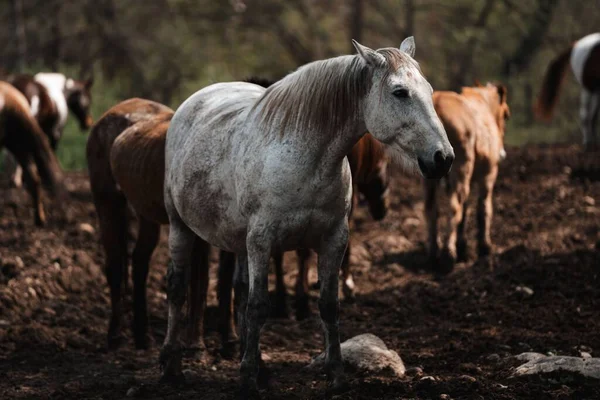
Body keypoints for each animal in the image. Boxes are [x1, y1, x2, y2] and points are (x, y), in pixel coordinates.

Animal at [88, 97, 217, 350]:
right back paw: (115, 335)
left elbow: (205, 280)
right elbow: (195, 279)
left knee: (139, 262)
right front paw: (193, 345)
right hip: (107, 204)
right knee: (115, 264)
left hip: (145, 213)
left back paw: (142, 335)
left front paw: (198, 343)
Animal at [162, 38, 452, 396]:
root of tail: (193, 102)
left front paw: (336, 377)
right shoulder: (262, 241)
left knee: (240, 291)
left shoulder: (333, 240)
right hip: (181, 227)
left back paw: (259, 368)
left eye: (428, 89)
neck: (307, 161)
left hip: (240, 242)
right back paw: (172, 368)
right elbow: (259, 306)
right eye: (400, 92)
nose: (443, 158)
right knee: (178, 288)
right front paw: (247, 381)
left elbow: (327, 305)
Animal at [424, 82, 508, 274]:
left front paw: (463, 246)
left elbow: (466, 210)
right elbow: (483, 208)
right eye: (506, 115)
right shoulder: (488, 174)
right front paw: (484, 246)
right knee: (455, 206)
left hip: (431, 178)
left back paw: (433, 254)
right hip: (462, 168)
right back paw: (448, 255)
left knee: (431, 208)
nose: (502, 153)